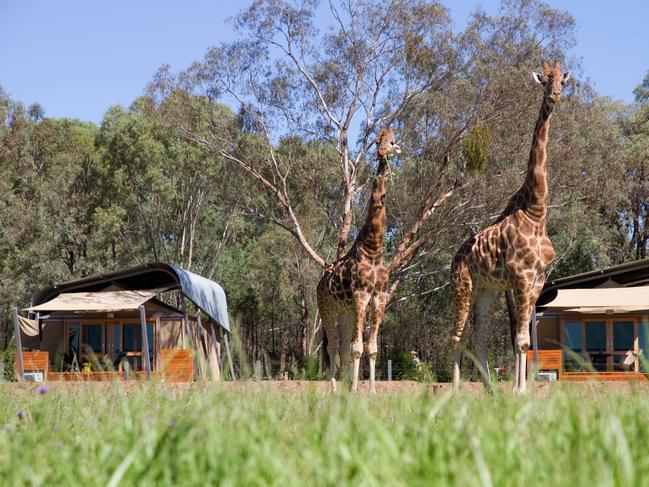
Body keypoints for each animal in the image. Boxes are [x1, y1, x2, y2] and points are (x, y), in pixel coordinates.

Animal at [316, 127, 398, 394]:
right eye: (377, 139)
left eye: (393, 141)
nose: (382, 152)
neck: (373, 249)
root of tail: (319, 282)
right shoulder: (362, 296)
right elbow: (357, 348)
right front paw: (354, 390)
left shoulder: (379, 297)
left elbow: (370, 349)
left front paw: (370, 390)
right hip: (327, 308)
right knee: (332, 347)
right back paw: (334, 389)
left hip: (346, 312)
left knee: (341, 347)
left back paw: (341, 387)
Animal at [450, 62, 568, 396]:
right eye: (544, 80)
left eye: (563, 80)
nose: (555, 95)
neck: (536, 212)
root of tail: (454, 258)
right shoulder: (521, 279)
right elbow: (520, 339)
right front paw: (519, 391)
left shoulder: (537, 281)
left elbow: (523, 340)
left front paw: (519, 390)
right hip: (462, 287)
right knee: (456, 337)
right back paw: (454, 390)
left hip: (485, 292)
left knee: (477, 339)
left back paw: (490, 390)